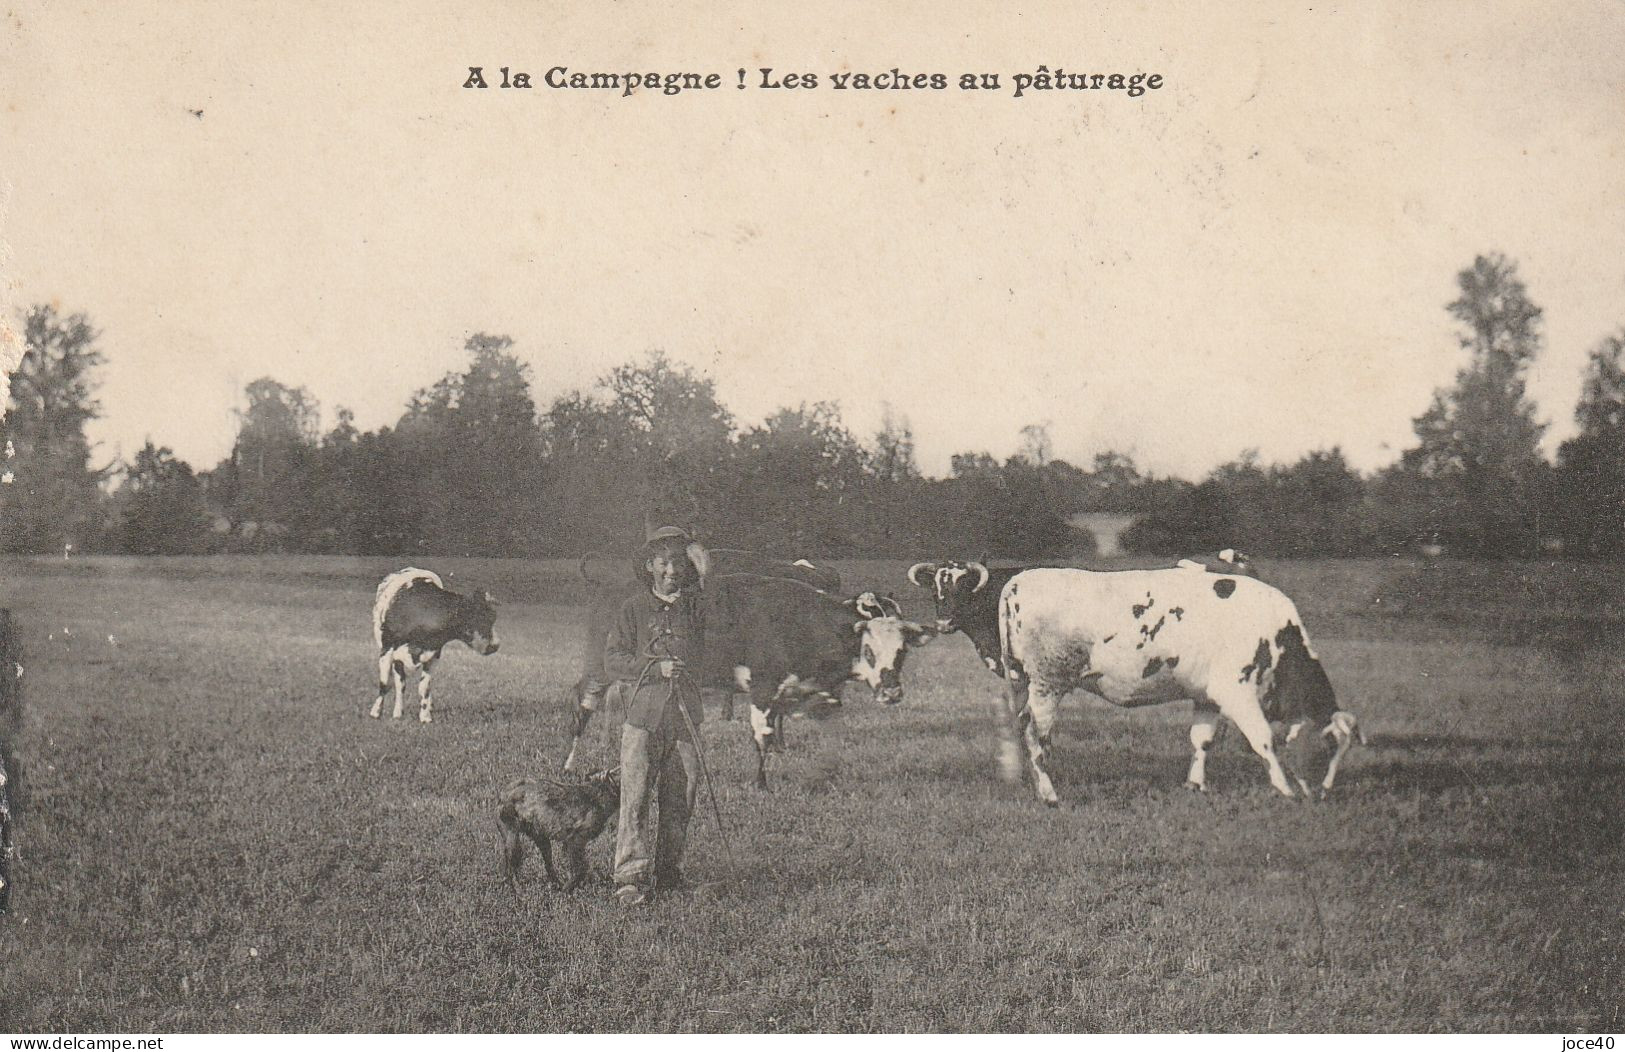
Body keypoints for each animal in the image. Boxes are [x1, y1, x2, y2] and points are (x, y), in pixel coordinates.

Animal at [372, 569, 497, 725]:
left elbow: (424, 687)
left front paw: (425, 716)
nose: (495, 645)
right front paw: (376, 712)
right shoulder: (387, 649)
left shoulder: (433, 654)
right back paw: (397, 712)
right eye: (482, 619)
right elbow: (385, 684)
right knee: (400, 684)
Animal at [988, 569, 1358, 806]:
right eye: (1328, 745)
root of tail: (1019, 579)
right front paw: (1284, 789)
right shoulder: (1235, 689)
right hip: (1047, 682)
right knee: (1037, 737)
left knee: (1021, 727)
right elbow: (1263, 739)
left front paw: (1195, 785)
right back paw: (1050, 795)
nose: (1324, 794)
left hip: (1023, 682)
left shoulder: (1207, 695)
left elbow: (1202, 740)